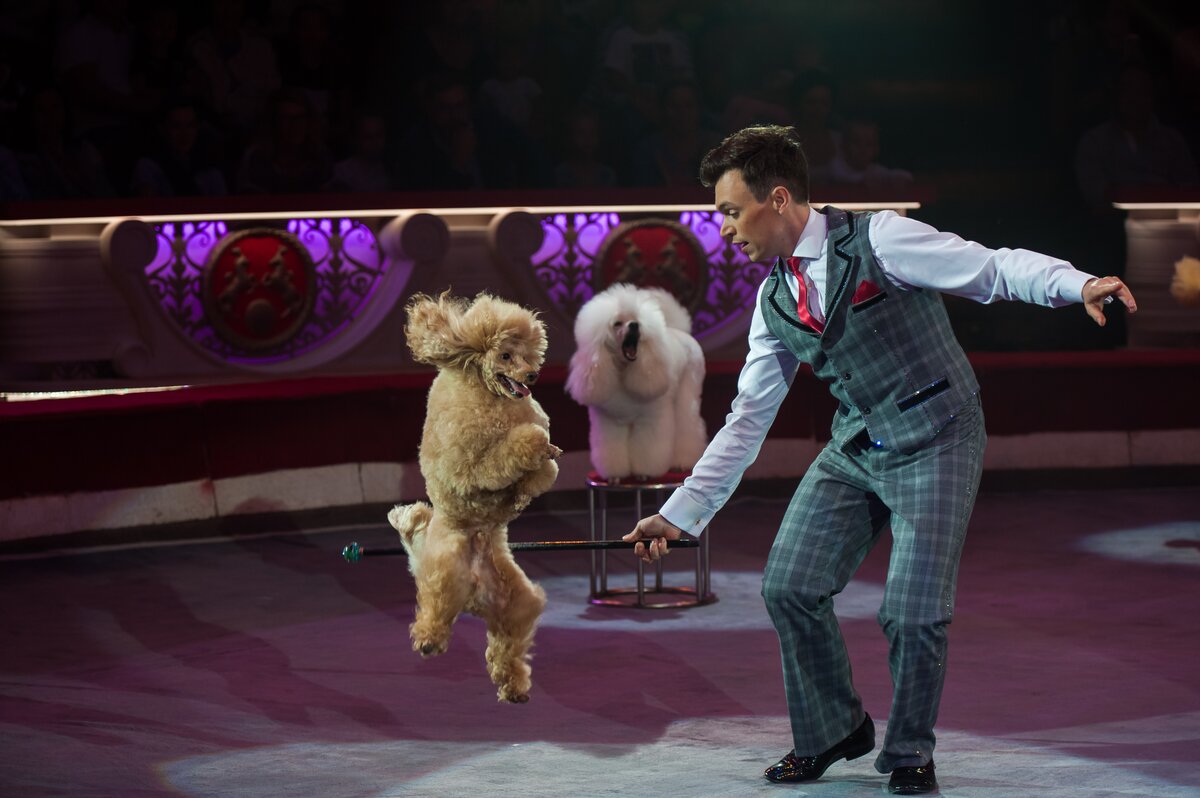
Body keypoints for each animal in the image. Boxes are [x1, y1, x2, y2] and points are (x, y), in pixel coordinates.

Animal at [388, 291, 560, 703]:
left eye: (528, 355)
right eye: (506, 356)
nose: (532, 376)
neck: (486, 390)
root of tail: (474, 594)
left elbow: (543, 469)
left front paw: (522, 493)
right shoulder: (469, 469)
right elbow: (513, 451)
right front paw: (529, 457)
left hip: (516, 602)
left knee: (505, 644)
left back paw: (512, 686)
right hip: (444, 573)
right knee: (434, 609)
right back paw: (429, 641)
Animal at [565, 283, 707, 480]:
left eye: (636, 321)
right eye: (617, 323)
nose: (634, 325)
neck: (624, 369)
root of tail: (680, 331)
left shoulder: (650, 420)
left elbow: (648, 448)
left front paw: (644, 474)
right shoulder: (609, 423)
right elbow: (612, 449)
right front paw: (615, 476)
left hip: (688, 390)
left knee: (688, 423)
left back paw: (681, 462)